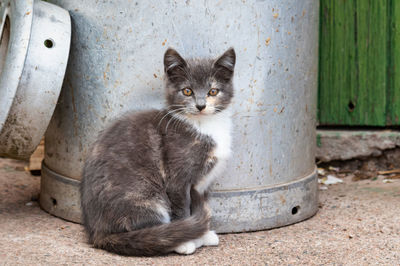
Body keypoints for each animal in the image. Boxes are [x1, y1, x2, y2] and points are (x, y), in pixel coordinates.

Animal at [81, 47, 236, 256]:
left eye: (213, 91)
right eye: (187, 91)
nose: (201, 105)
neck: (203, 126)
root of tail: (98, 233)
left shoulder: (203, 184)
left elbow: (200, 205)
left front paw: (203, 235)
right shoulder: (177, 180)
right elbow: (182, 209)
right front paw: (188, 240)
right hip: (146, 197)